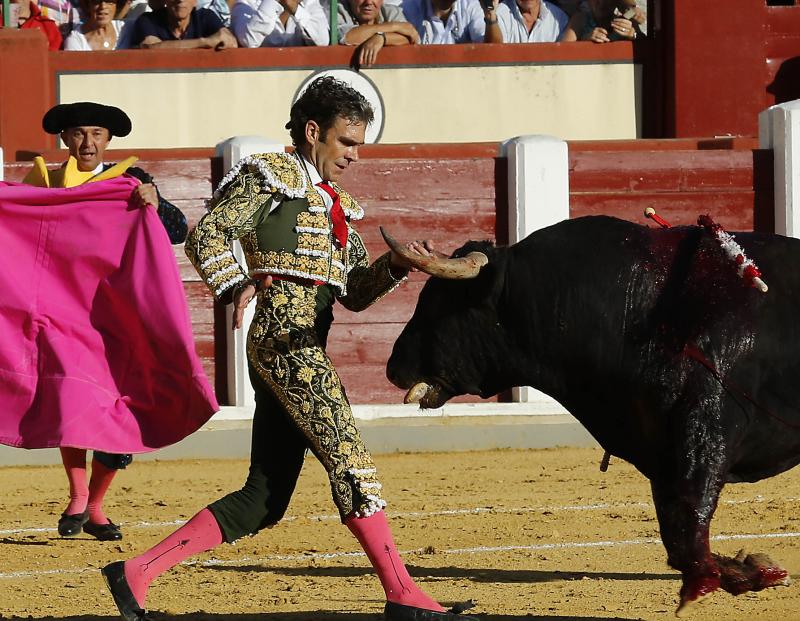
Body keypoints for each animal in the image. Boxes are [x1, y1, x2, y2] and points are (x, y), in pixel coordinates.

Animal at [384, 216, 796, 612]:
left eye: (438, 302)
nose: (392, 366)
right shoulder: (660, 448)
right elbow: (675, 532)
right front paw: (754, 568)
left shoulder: (703, 434)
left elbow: (688, 522)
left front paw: (751, 572)